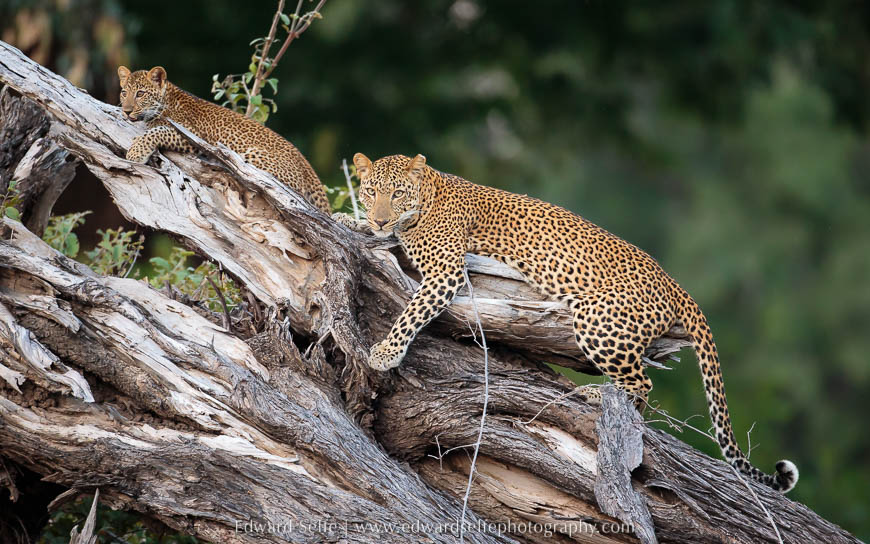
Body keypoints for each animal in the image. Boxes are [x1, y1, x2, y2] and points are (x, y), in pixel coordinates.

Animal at [117, 65, 331, 214]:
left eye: (140, 93)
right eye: (124, 93)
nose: (126, 111)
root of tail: (307, 167)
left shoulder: (192, 136)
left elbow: (156, 131)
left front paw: (136, 152)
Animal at [353, 152, 799, 493]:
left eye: (396, 193)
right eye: (371, 192)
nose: (379, 220)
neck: (427, 196)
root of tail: (675, 285)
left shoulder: (446, 272)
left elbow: (412, 312)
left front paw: (385, 352)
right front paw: (352, 219)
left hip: (596, 320)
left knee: (642, 385)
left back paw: (595, 395)